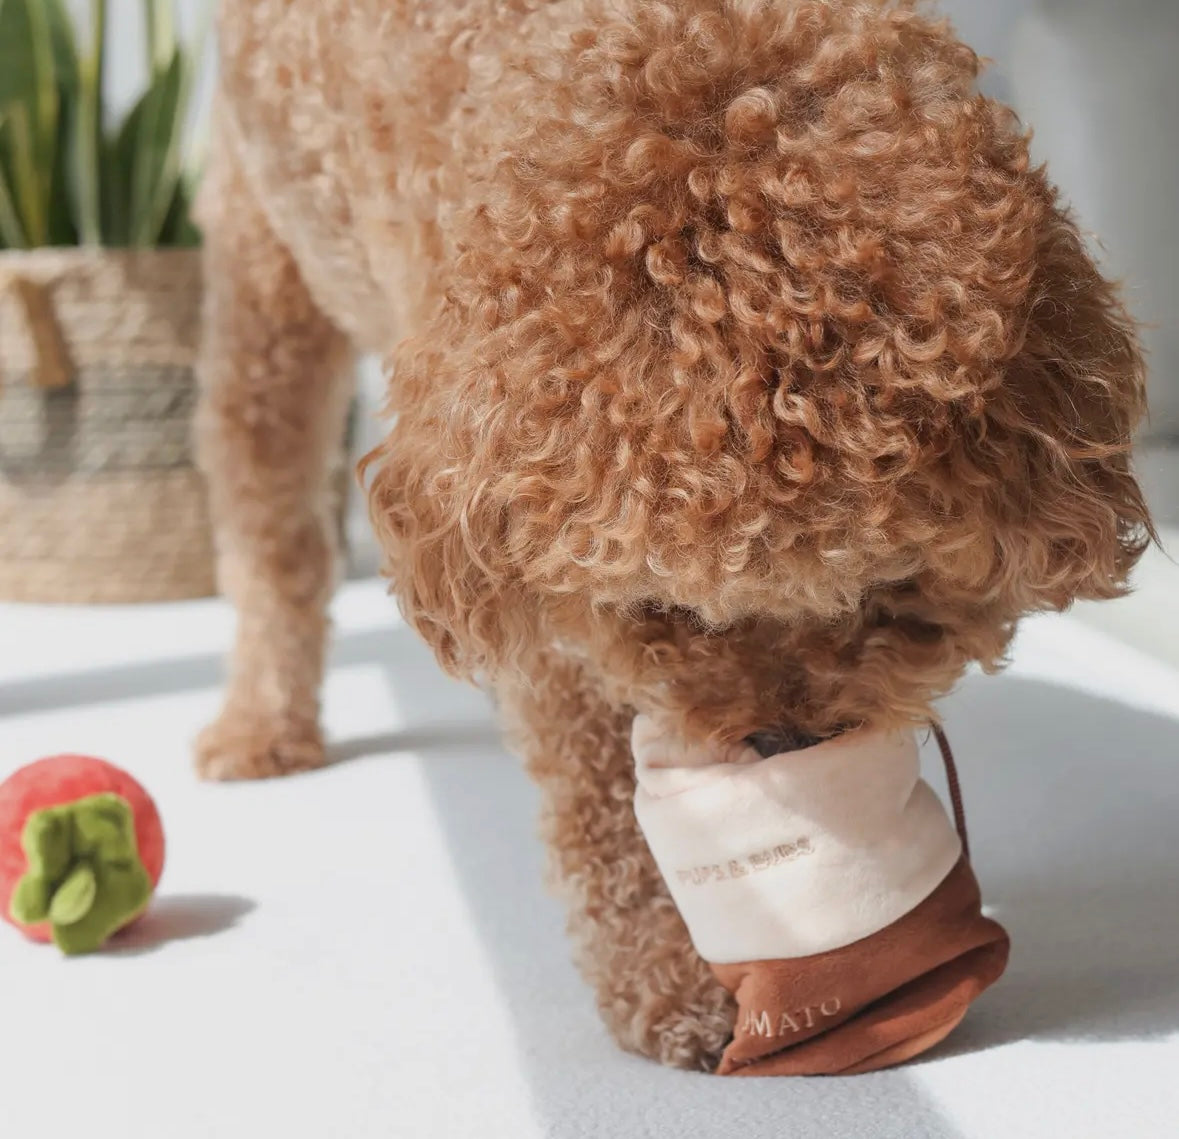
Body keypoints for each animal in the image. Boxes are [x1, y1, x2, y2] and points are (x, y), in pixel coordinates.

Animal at [195, 0, 1150, 1070]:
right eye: (665, 609)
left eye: (885, 593)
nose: (782, 739)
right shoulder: (533, 571)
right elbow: (601, 793)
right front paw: (677, 984)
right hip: (259, 272)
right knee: (270, 530)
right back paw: (260, 729)